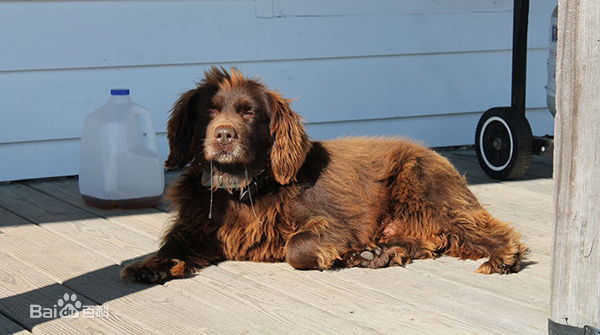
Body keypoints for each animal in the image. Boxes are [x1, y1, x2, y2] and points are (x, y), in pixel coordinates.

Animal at [122, 66, 524, 284]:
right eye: (209, 110)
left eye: (250, 113)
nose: (223, 135)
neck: (240, 187)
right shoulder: (196, 226)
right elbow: (171, 244)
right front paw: (150, 266)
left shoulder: (336, 225)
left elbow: (295, 248)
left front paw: (346, 254)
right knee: (428, 240)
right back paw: (383, 253)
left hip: (425, 187)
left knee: (485, 230)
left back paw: (504, 257)